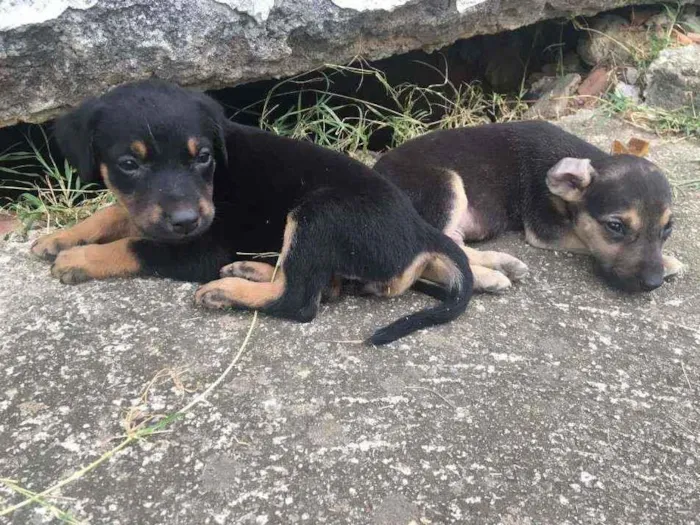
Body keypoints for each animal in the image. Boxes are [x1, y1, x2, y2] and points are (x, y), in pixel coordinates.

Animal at [30, 81, 474, 344]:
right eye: (128, 164)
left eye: (203, 157)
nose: (187, 222)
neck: (217, 172)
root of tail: (420, 231)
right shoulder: (148, 210)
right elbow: (114, 215)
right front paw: (58, 238)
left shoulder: (200, 248)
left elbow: (134, 246)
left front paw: (78, 258)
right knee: (320, 285)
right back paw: (252, 270)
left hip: (319, 212)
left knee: (300, 299)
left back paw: (227, 290)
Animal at [374, 119, 680, 290]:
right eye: (615, 226)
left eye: (668, 228)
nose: (653, 284)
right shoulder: (545, 229)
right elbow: (587, 242)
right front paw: (669, 260)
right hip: (445, 186)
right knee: (434, 252)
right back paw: (488, 277)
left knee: (452, 246)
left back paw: (501, 264)